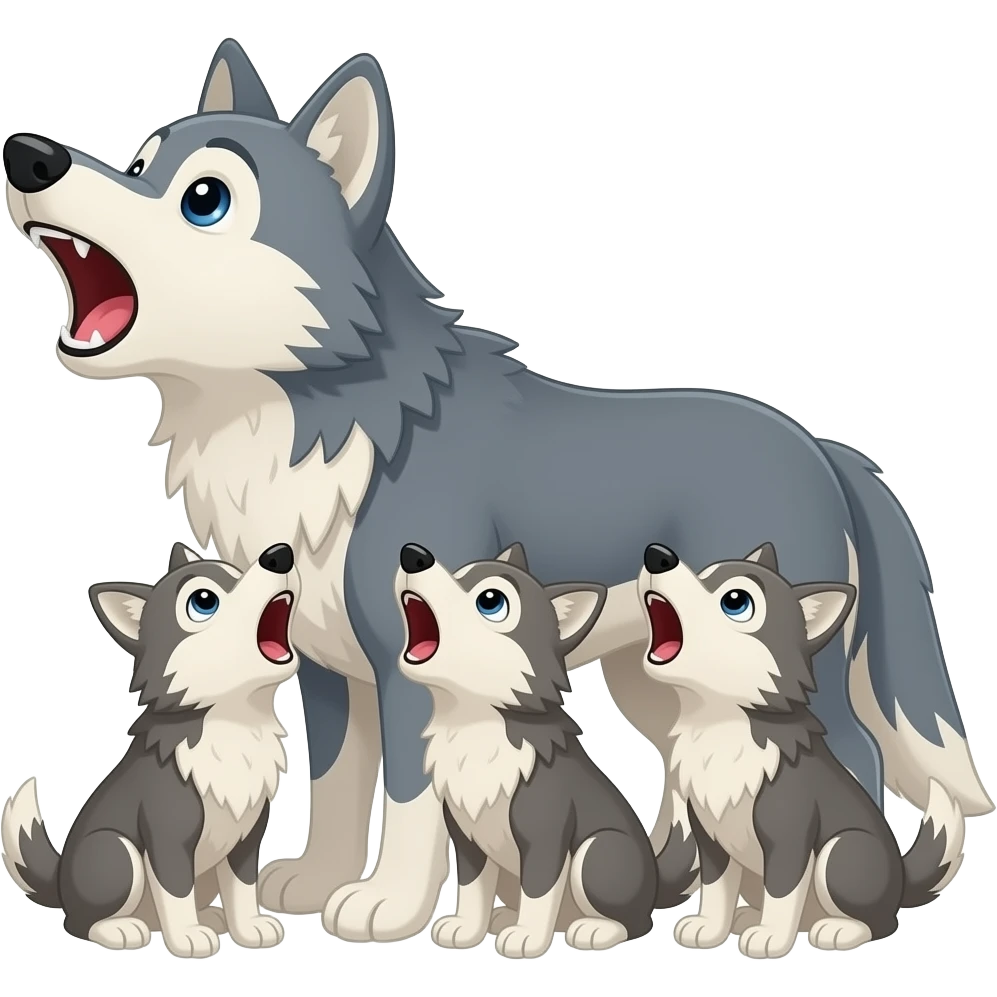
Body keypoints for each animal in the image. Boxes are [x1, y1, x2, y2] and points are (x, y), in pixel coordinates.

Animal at [0, 541, 300, 958]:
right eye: (204, 601)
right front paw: (187, 938)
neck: (234, 722)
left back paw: (207, 919)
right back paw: (121, 930)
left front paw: (248, 929)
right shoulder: (167, 833)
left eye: (236, 571)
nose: (279, 554)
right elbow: (175, 891)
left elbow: (242, 888)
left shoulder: (248, 835)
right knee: (79, 922)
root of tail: (60, 882)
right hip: (114, 852)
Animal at [395, 541, 661, 958]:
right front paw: (467, 929)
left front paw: (528, 939)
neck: (474, 724)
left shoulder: (546, 833)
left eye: (490, 601)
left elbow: (538, 891)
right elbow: (472, 888)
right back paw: (509, 918)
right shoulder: (466, 837)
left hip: (600, 851)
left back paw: (596, 930)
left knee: (636, 922)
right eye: (460, 571)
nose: (413, 554)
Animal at [638, 542, 990, 959]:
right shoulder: (709, 835)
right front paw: (709, 928)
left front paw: (771, 938)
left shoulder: (789, 833)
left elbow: (782, 892)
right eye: (705, 572)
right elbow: (717, 888)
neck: (718, 725)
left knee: (881, 922)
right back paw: (751, 919)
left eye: (735, 601)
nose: (658, 555)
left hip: (843, 851)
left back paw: (838, 930)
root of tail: (901, 881)